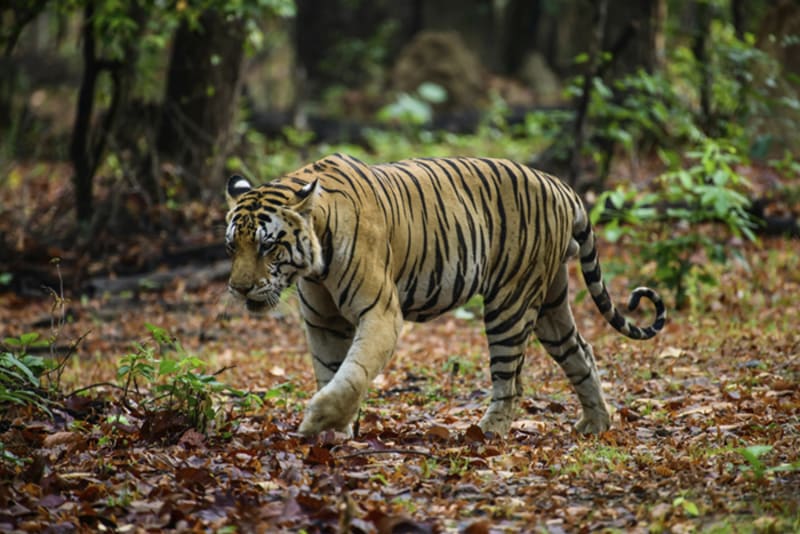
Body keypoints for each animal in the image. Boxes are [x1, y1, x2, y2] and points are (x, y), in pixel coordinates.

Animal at [224, 153, 665, 437]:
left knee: (510, 379)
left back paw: (487, 432)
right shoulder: (323, 321)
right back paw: (596, 424)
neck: (314, 263)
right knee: (581, 352)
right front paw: (334, 432)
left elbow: (353, 372)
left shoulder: (380, 313)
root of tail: (559, 184)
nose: (239, 288)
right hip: (550, 303)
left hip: (510, 301)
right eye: (232, 246)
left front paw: (318, 420)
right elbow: (330, 370)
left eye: (267, 246)